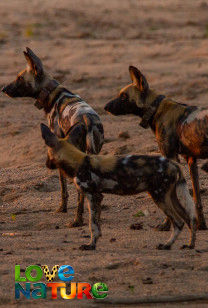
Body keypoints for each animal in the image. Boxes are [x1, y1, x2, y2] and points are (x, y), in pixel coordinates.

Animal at [2, 47, 104, 227]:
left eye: (20, 78)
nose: (4, 89)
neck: (51, 92)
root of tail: (88, 119)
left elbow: (63, 189)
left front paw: (62, 209)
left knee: (81, 194)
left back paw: (77, 220)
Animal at [40, 122, 197, 250]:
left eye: (47, 155)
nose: (46, 164)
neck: (78, 162)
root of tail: (174, 164)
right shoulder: (99, 197)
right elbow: (97, 226)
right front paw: (94, 243)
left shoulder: (92, 196)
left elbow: (92, 225)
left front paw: (90, 245)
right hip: (170, 196)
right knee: (189, 219)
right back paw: (190, 245)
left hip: (159, 197)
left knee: (178, 222)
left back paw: (166, 245)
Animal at [105, 66, 208, 232]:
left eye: (124, 96)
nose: (105, 107)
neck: (156, 109)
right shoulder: (191, 160)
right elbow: (197, 198)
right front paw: (201, 225)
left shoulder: (170, 159)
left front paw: (166, 224)